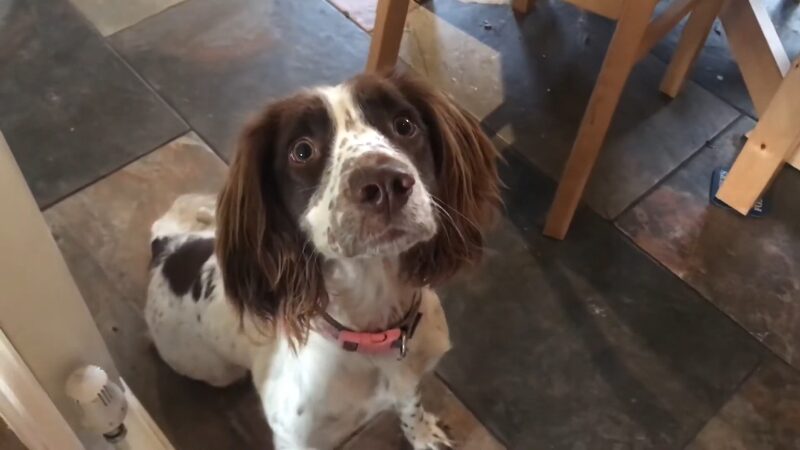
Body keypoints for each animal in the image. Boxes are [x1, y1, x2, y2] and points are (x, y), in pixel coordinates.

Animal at [142, 72, 494, 448]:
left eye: (404, 125)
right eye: (302, 151)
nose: (385, 183)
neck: (374, 332)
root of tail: (164, 250)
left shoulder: (411, 373)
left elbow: (411, 404)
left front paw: (422, 434)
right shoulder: (297, 437)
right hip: (212, 368)